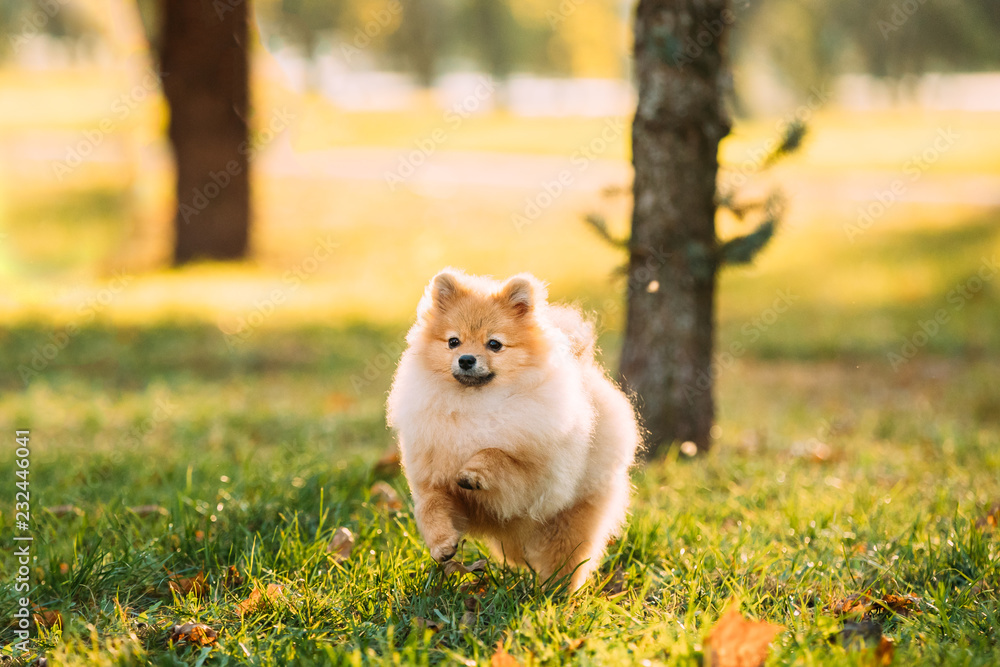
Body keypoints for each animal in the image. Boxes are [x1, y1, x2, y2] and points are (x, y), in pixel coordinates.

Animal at [382, 268, 640, 592]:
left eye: (494, 344)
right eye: (453, 341)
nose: (466, 359)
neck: (474, 404)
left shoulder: (534, 479)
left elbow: (496, 453)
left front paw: (473, 472)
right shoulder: (433, 476)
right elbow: (430, 507)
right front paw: (442, 544)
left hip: (572, 514)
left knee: (567, 557)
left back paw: (554, 592)